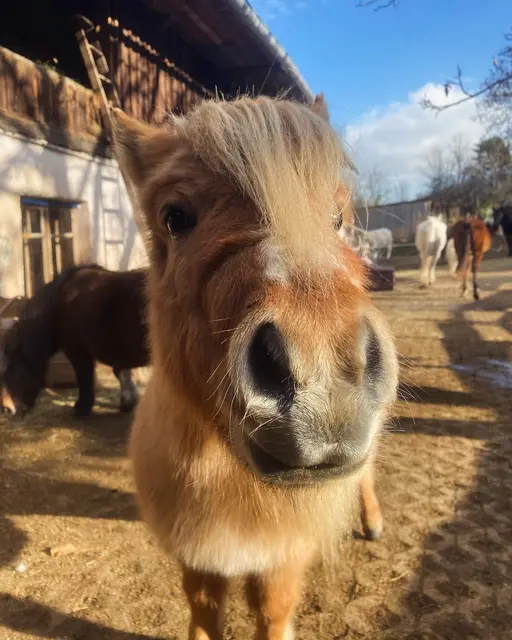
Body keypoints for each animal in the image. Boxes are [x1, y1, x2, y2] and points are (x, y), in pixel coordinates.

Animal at [0, 265, 149, 416]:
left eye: (10, 369)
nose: (6, 408)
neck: (56, 306)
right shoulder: (118, 351)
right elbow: (123, 374)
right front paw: (128, 403)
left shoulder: (77, 351)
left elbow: (85, 377)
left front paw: (82, 408)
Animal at [113, 93, 398, 640]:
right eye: (175, 217)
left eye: (336, 217)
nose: (325, 376)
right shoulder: (199, 566)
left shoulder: (279, 569)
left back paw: (373, 520)